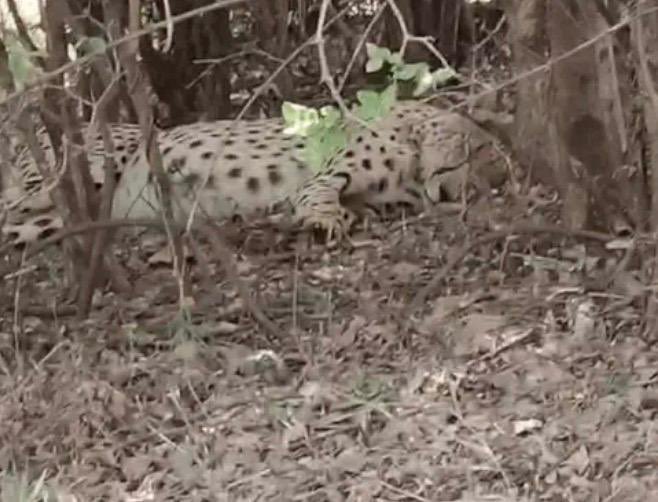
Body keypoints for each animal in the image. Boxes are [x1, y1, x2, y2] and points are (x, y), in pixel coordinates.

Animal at [0, 100, 506, 248]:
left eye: (484, 185)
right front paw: (324, 221)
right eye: (468, 157)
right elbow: (320, 196)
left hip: (50, 219)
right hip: (71, 180)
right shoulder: (323, 175)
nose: (451, 195)